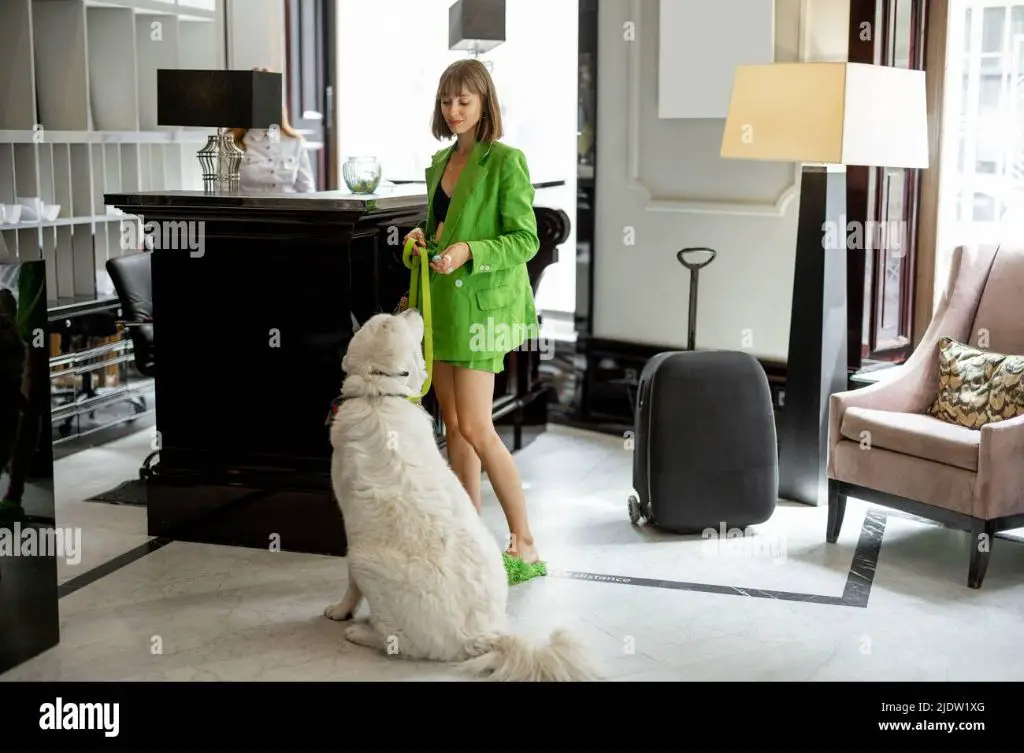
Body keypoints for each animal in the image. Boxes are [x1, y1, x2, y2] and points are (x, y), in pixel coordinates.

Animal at [323, 307, 598, 684]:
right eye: (390, 320)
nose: (412, 308)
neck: (379, 396)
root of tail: (480, 635)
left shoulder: (350, 527)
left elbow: (350, 586)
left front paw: (340, 611)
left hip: (365, 561)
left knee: (396, 639)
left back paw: (360, 633)